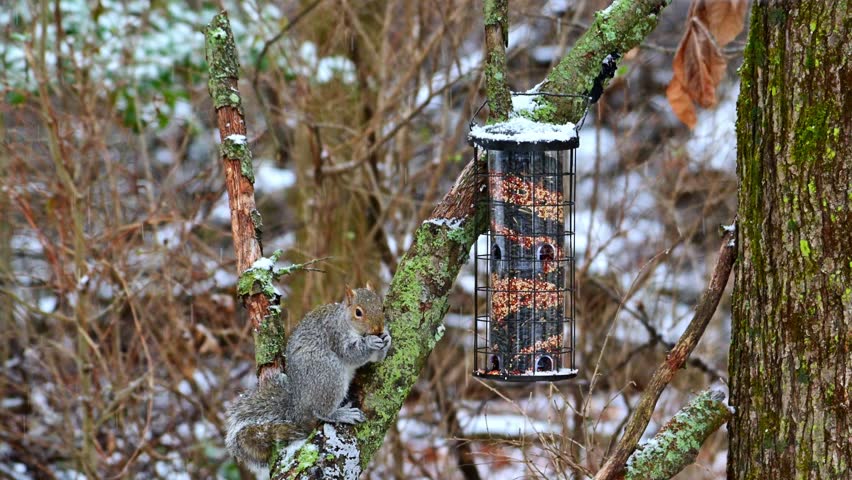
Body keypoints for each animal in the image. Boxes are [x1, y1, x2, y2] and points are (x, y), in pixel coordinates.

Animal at [225, 285, 391, 472]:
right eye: (358, 312)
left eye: (382, 307)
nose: (378, 329)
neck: (346, 322)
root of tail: (297, 403)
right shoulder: (335, 336)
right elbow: (351, 354)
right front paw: (370, 343)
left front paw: (387, 338)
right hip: (328, 374)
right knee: (321, 411)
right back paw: (341, 414)